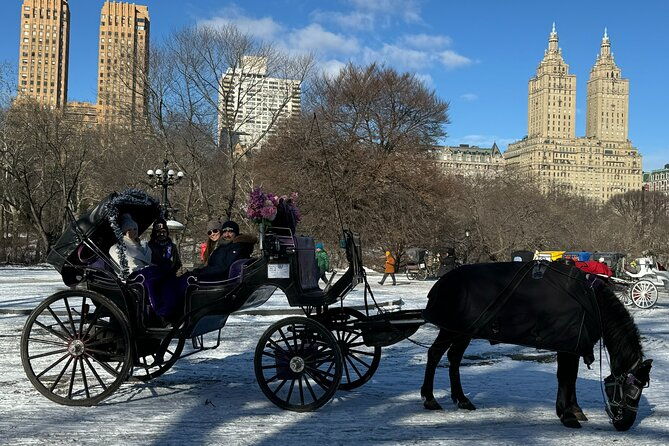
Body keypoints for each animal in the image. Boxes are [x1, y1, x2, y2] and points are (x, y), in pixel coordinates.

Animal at [419, 261, 653, 431]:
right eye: (631, 388)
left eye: (640, 388)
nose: (625, 424)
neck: (592, 301)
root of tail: (444, 280)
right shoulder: (567, 346)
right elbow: (565, 378)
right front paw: (567, 414)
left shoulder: (572, 346)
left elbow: (571, 378)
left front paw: (575, 409)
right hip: (451, 329)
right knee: (435, 354)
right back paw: (429, 398)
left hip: (463, 331)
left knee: (454, 358)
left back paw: (461, 399)